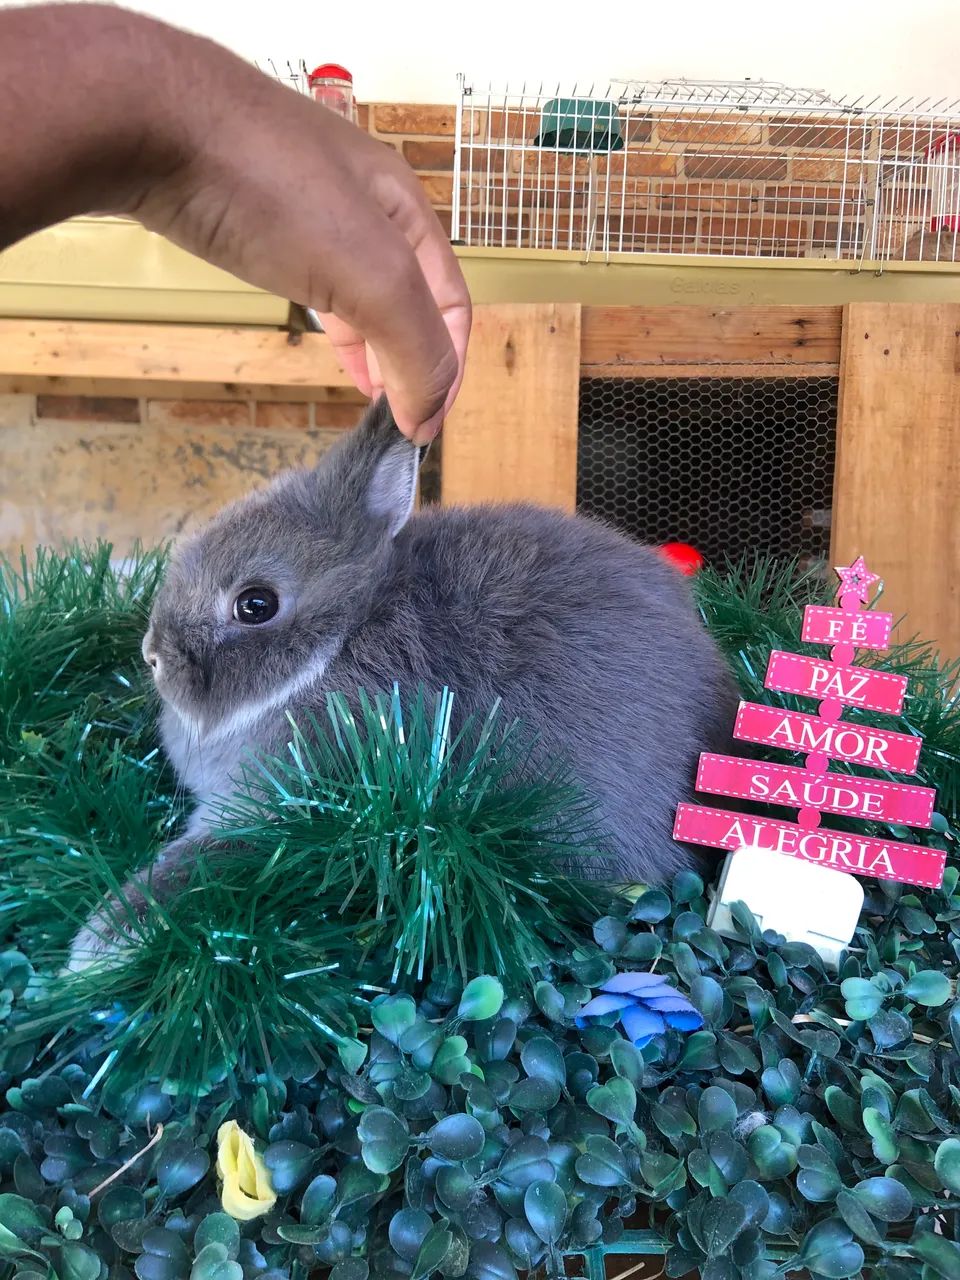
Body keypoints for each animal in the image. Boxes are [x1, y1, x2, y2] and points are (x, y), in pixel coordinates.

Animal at [67, 396, 738, 971]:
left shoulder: (293, 791)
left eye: (255, 605)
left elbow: (194, 867)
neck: (338, 644)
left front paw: (94, 951)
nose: (153, 655)